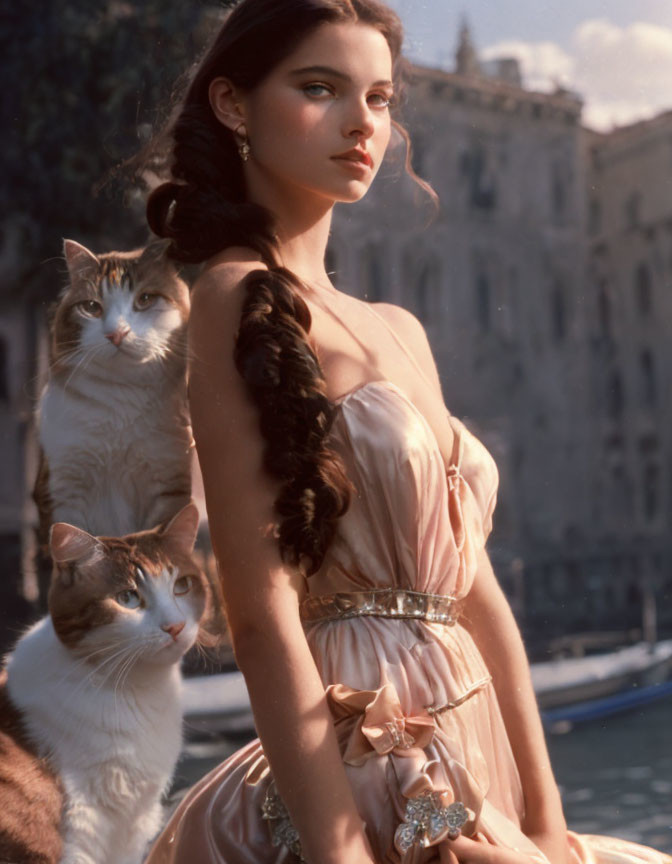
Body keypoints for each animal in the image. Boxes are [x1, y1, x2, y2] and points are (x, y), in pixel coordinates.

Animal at [0, 500, 207, 864]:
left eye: (182, 585)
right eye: (128, 598)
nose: (175, 626)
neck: (134, 690)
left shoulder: (134, 822)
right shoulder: (83, 820)